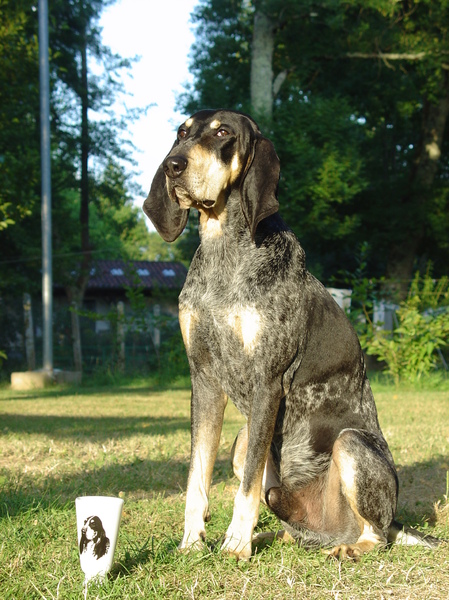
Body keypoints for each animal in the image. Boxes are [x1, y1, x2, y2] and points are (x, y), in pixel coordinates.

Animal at [143, 109, 438, 564]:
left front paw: (235, 544)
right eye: (182, 132)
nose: (173, 165)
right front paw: (192, 541)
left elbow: (247, 488)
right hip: (244, 442)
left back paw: (349, 547)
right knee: (290, 524)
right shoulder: (204, 379)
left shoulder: (267, 381)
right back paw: (275, 536)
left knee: (377, 534)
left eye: (223, 132)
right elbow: (197, 475)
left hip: (350, 447)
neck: (224, 249)